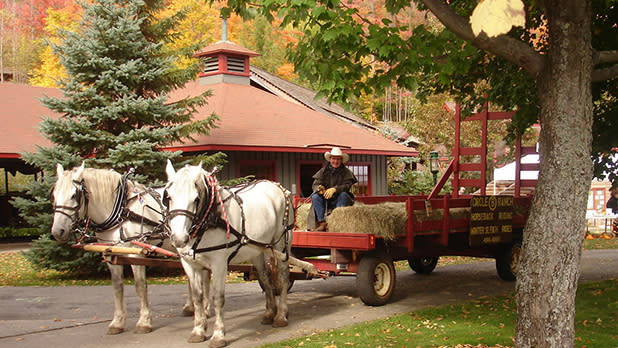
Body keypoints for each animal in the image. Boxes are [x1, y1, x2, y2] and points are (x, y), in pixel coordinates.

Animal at [49, 163, 206, 334]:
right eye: (53, 195)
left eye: (74, 195)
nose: (57, 232)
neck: (120, 212)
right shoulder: (112, 254)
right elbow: (117, 287)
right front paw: (117, 322)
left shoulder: (136, 254)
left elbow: (140, 286)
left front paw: (144, 322)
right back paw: (190, 307)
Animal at [161, 161, 292, 348]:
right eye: (168, 197)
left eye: (196, 199)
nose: (179, 238)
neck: (210, 218)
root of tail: (277, 186)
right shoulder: (189, 264)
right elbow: (198, 297)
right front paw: (198, 331)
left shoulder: (219, 264)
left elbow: (218, 298)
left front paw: (218, 335)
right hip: (258, 250)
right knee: (265, 278)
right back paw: (269, 313)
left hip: (281, 246)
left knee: (283, 277)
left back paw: (281, 315)